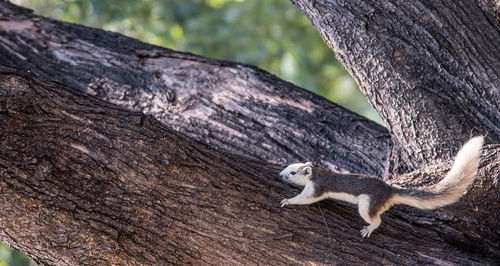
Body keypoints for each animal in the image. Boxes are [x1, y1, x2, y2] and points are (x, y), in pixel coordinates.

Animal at [280, 136, 482, 238]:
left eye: (293, 172)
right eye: (288, 166)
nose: (281, 175)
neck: (315, 173)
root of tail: (388, 192)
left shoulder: (316, 188)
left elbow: (305, 199)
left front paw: (287, 201)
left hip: (367, 203)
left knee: (376, 220)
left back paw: (368, 229)